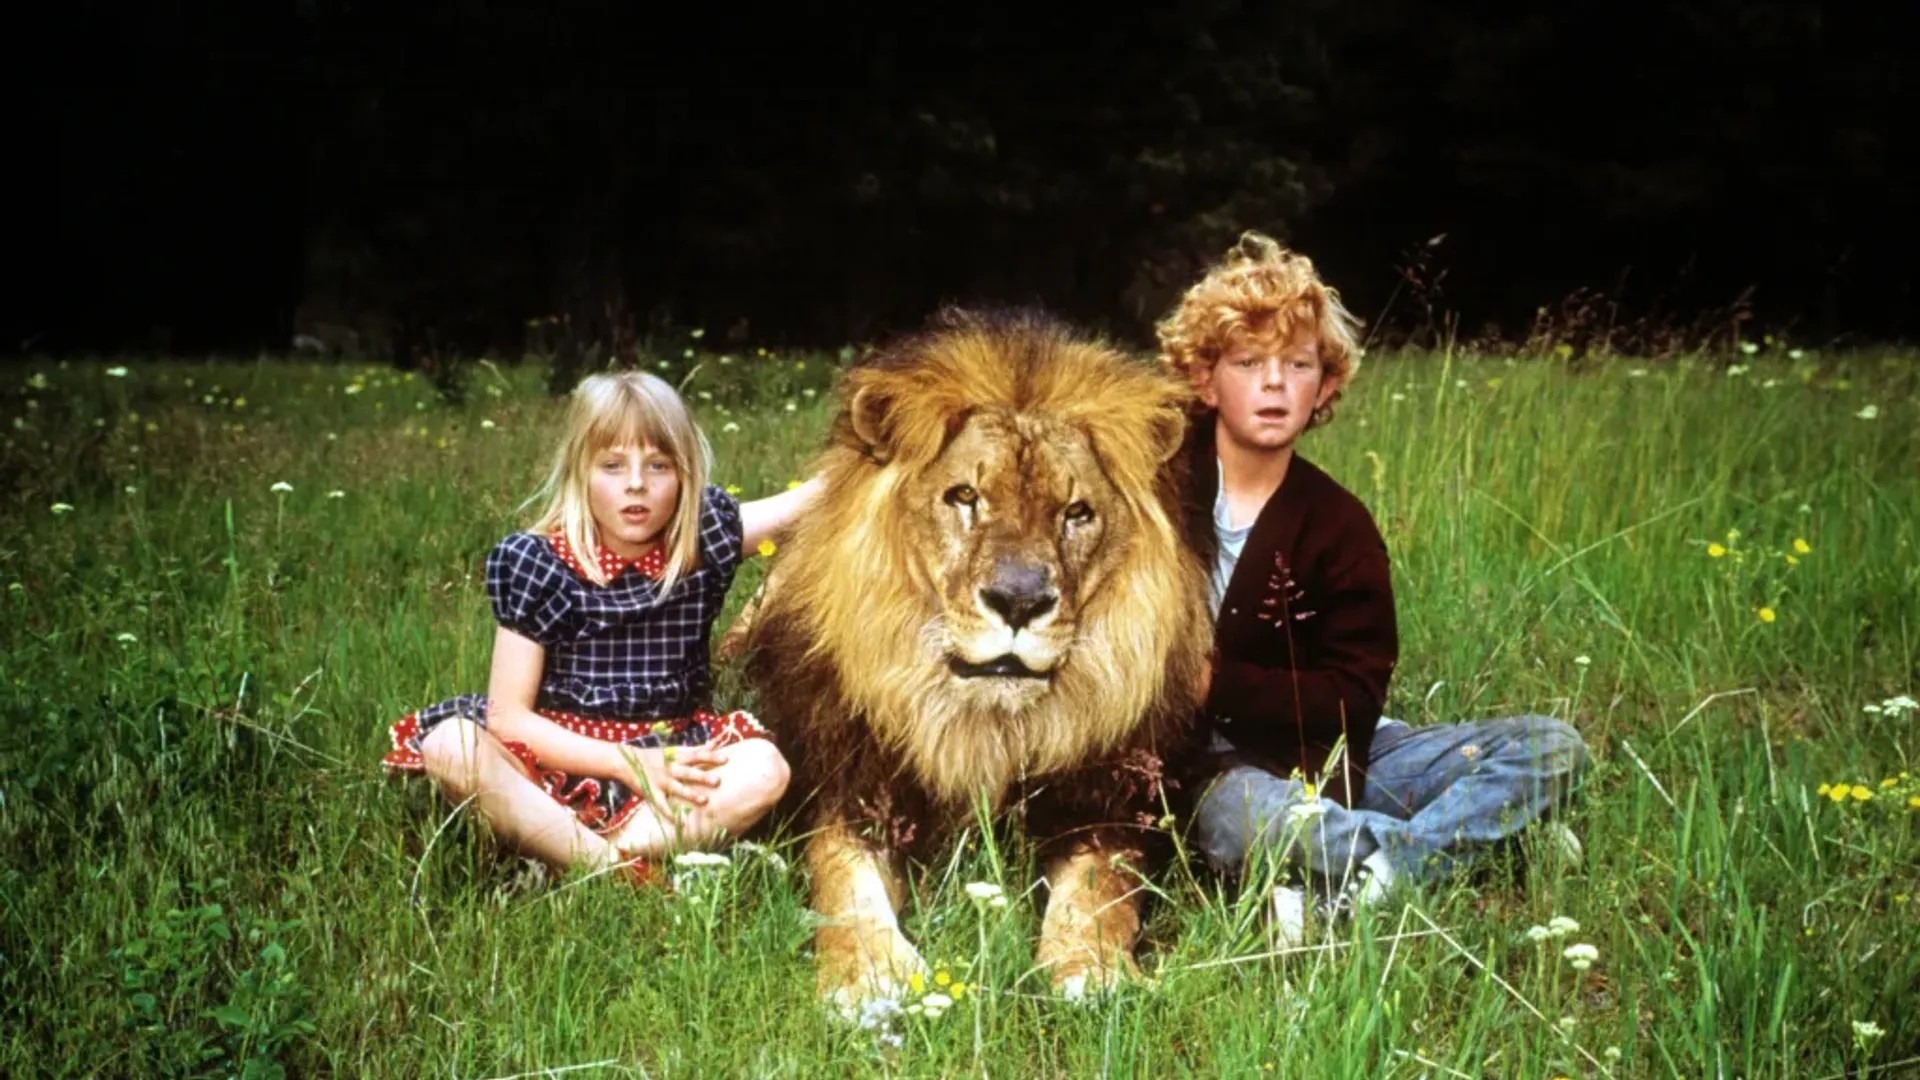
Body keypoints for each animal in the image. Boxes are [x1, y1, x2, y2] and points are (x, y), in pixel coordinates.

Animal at [737, 305, 1213, 1006]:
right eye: (964, 496)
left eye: (1076, 512)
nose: (1019, 601)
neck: (979, 727)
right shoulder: (853, 791)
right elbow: (844, 882)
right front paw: (867, 975)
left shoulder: (1105, 806)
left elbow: (1100, 892)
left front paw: (1093, 969)